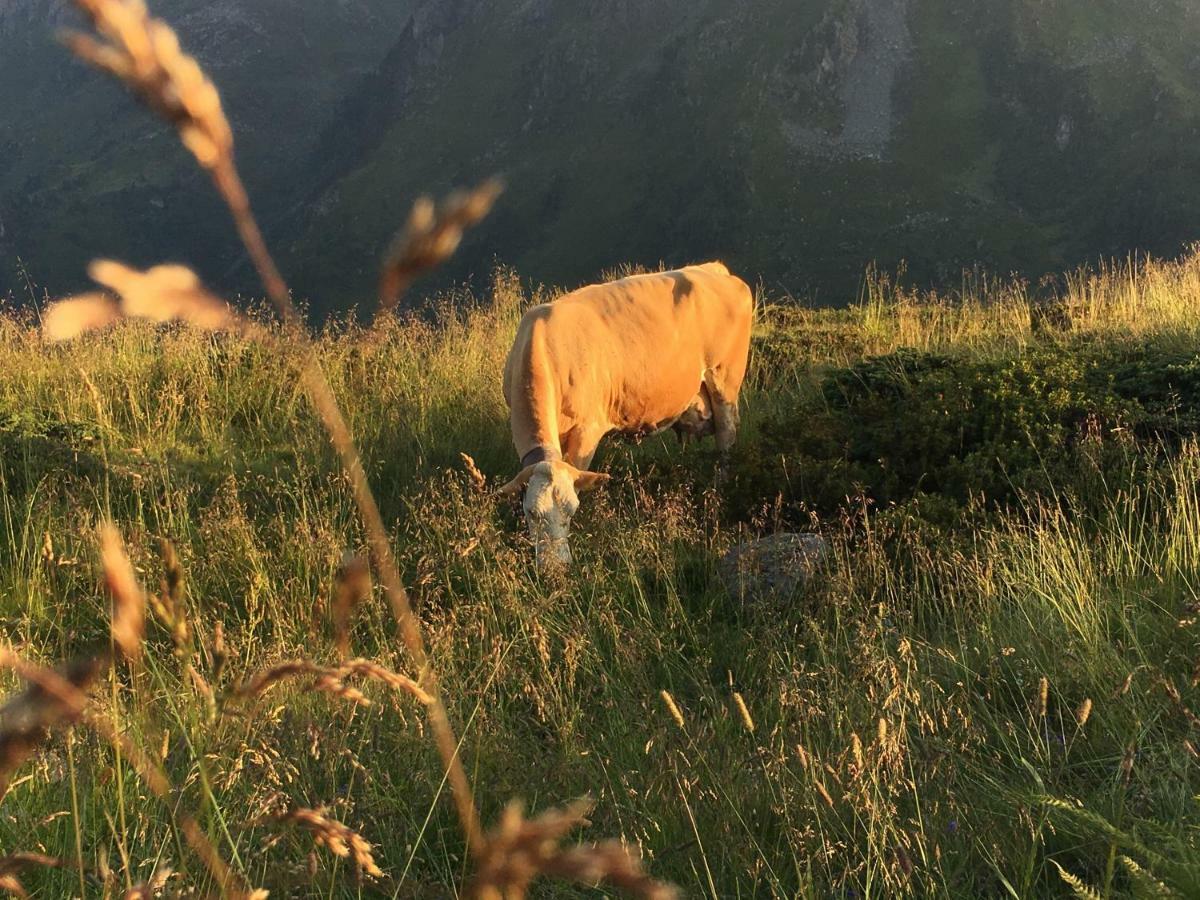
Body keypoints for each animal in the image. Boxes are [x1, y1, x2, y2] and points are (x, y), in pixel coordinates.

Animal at [496, 262, 748, 571]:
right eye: (531, 513)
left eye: (571, 511)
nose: (557, 567)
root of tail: (714, 269)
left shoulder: (588, 429)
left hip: (725, 381)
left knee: (726, 441)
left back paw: (720, 490)